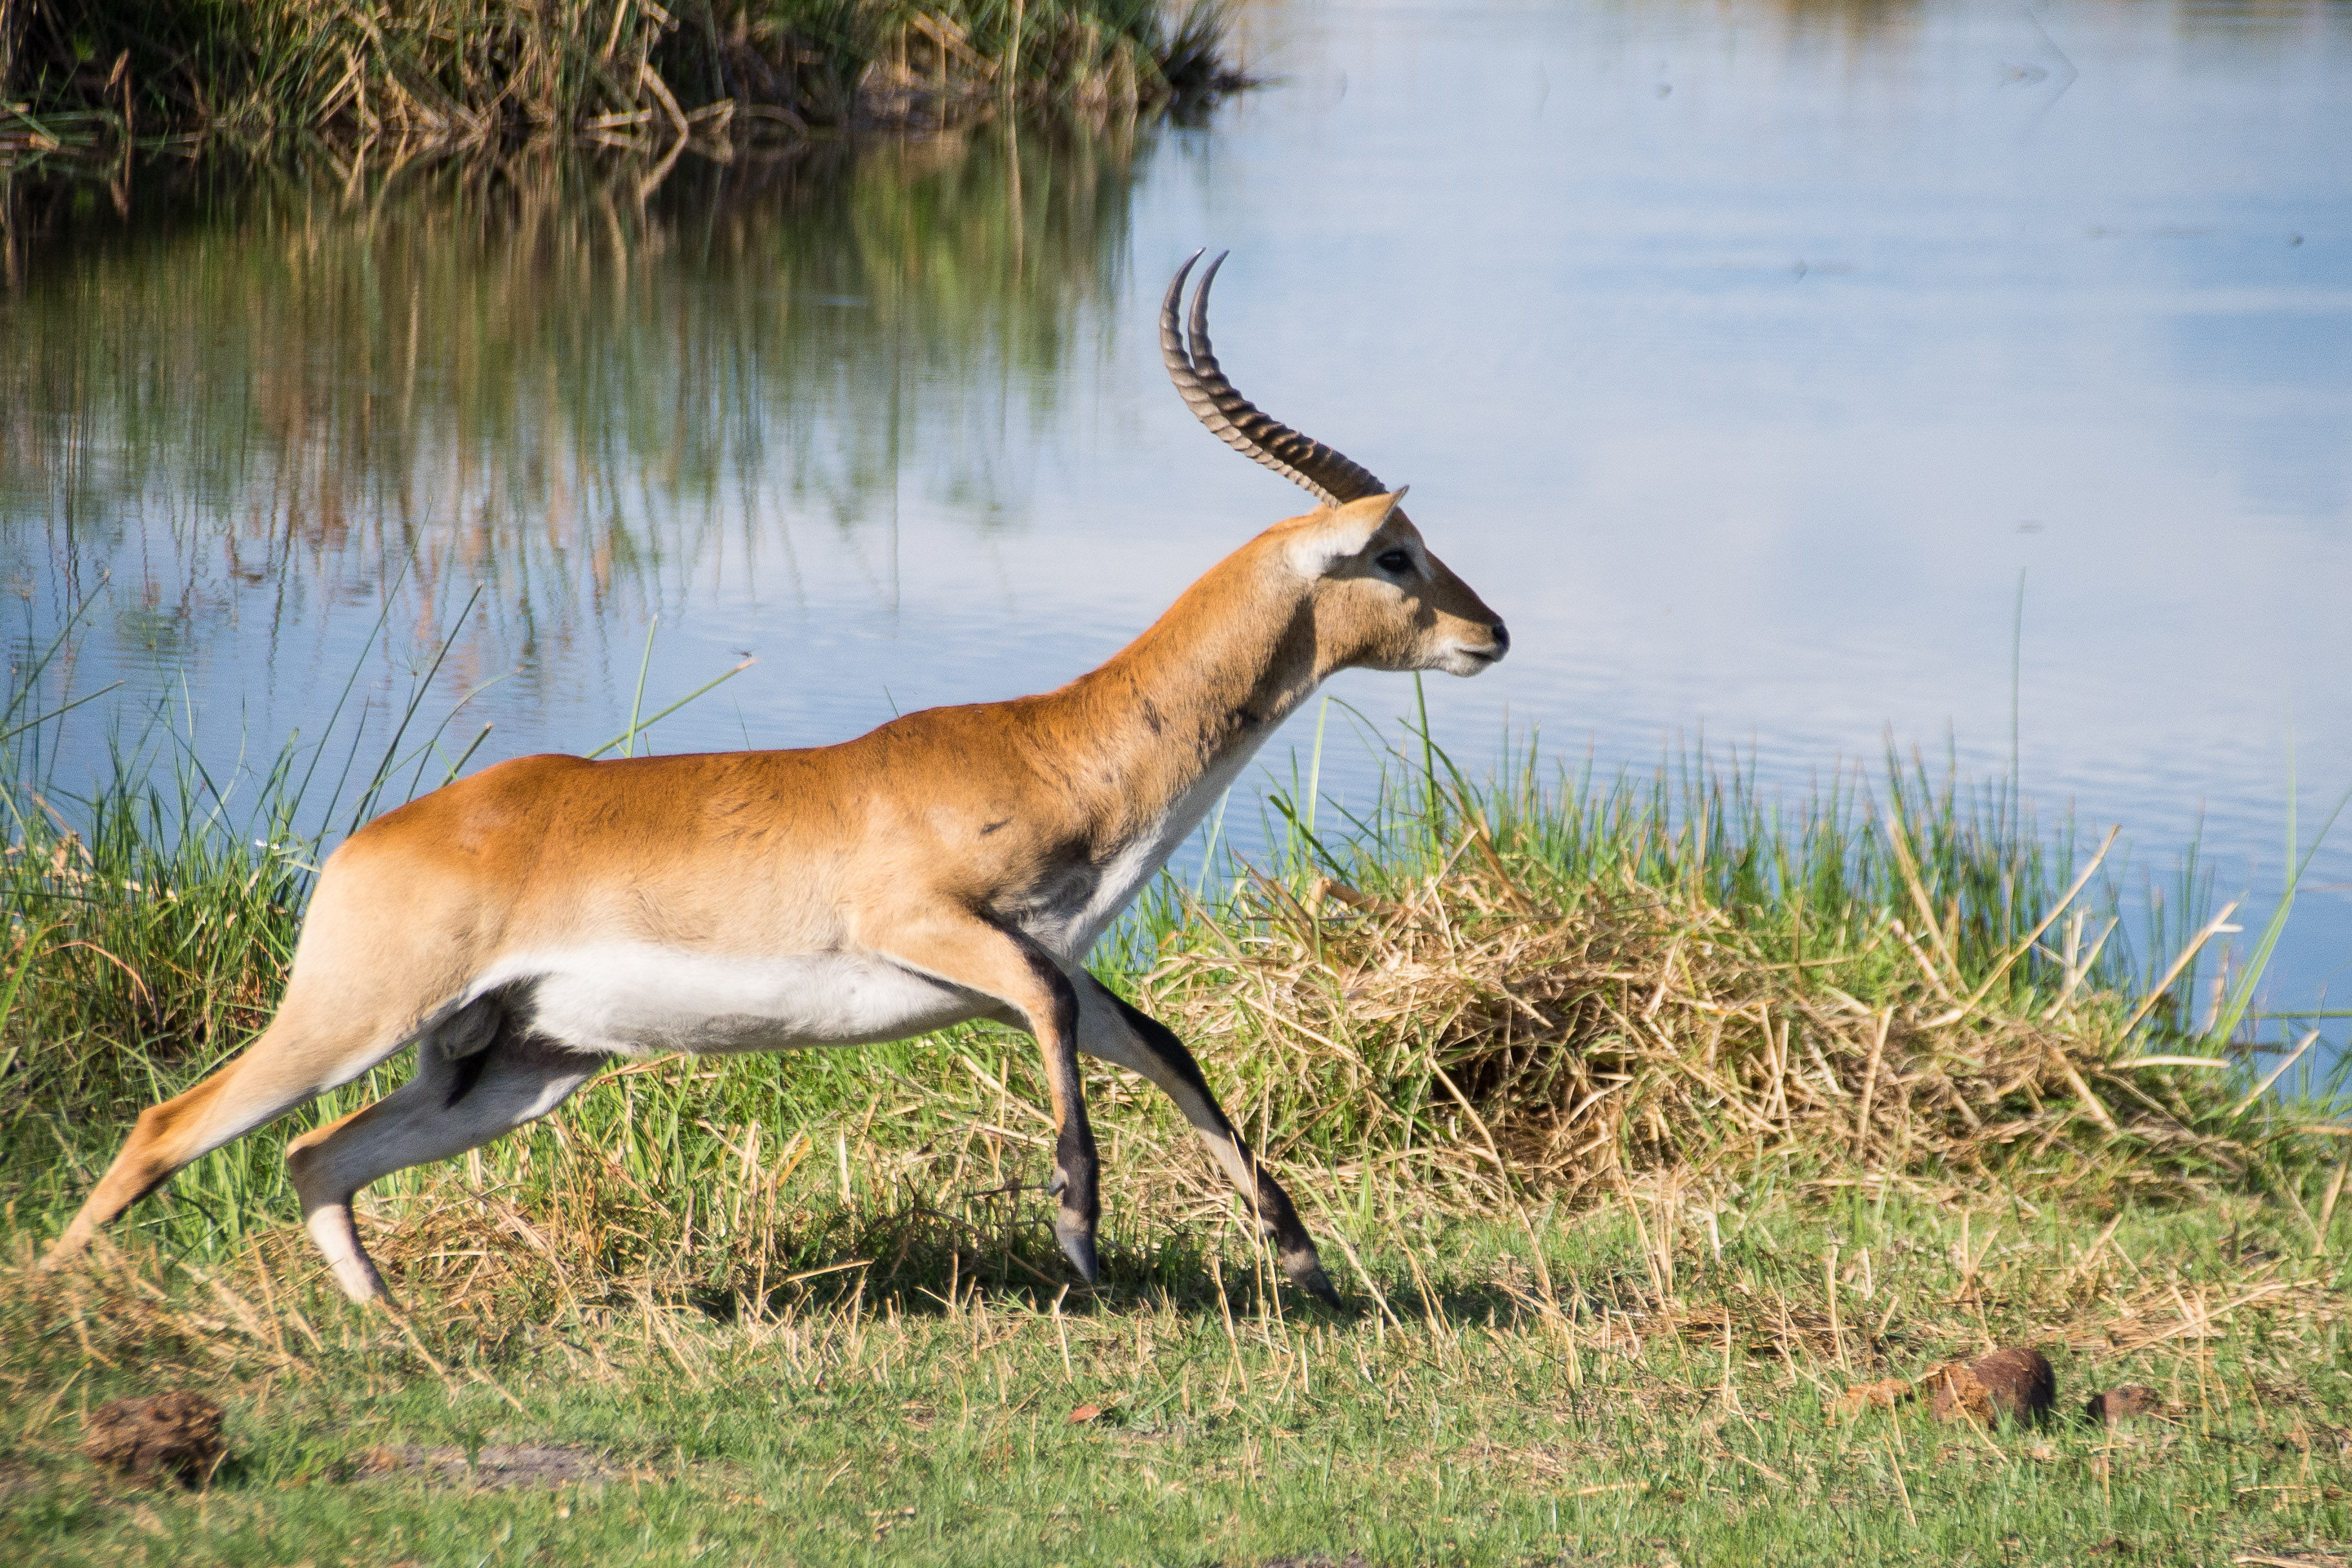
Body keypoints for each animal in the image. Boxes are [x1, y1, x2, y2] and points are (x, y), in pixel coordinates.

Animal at [50, 257, 1505, 1307]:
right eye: (1395, 552)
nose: (1489, 630)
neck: (1053, 743)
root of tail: (372, 841)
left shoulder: (1050, 960)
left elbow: (1163, 1044)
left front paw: (1298, 1256)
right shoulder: (936, 928)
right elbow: (1061, 1022)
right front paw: (1082, 1236)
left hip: (514, 1065)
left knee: (314, 1152)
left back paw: (388, 1319)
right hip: (356, 1015)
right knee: (168, 1122)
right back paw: (69, 1303)